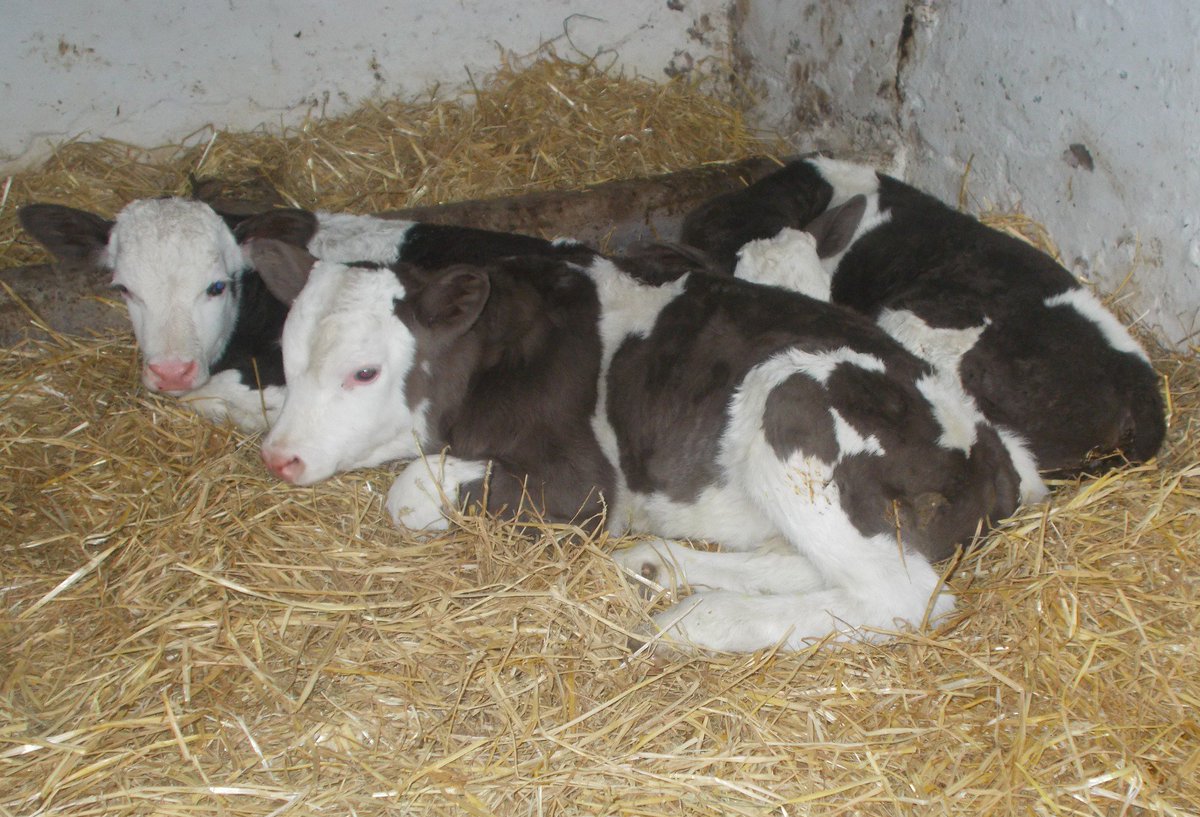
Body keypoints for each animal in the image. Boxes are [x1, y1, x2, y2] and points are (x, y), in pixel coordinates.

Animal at [245, 239, 1038, 652]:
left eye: (364, 371)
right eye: (284, 355)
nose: (278, 457)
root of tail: (990, 446)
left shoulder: (582, 486)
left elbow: (408, 489)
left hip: (792, 400)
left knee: (904, 595)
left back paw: (698, 621)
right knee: (807, 563)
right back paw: (659, 569)